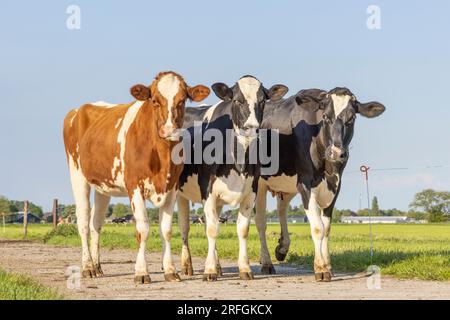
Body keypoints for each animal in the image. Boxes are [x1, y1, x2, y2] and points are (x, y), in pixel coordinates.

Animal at [62, 72, 210, 282]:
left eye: (182, 100)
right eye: (155, 100)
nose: (169, 130)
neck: (162, 155)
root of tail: (79, 109)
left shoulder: (171, 188)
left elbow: (166, 230)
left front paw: (170, 270)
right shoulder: (135, 187)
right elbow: (143, 229)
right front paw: (141, 272)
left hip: (103, 186)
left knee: (95, 223)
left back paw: (97, 266)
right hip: (77, 174)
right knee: (83, 221)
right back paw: (88, 267)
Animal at [176, 76, 288, 282]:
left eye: (262, 101)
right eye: (237, 100)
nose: (252, 128)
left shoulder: (250, 192)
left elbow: (242, 229)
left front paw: (244, 268)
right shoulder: (208, 192)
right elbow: (212, 230)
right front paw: (209, 270)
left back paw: (218, 266)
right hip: (179, 194)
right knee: (185, 227)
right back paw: (187, 265)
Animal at [255, 87, 384, 280]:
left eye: (351, 118)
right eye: (325, 116)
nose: (337, 153)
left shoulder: (335, 186)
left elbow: (327, 228)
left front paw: (328, 265)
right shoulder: (306, 184)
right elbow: (318, 228)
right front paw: (321, 268)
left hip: (287, 183)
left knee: (281, 208)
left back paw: (282, 248)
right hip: (260, 184)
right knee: (261, 222)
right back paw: (267, 262)